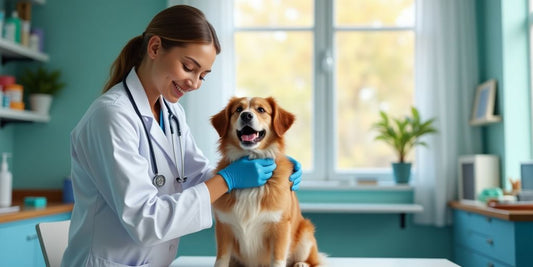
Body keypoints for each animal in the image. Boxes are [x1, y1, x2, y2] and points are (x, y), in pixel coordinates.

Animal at [210, 97, 326, 267]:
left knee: (314, 260)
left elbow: (277, 260)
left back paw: (301, 264)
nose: (246, 115)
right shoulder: (224, 227)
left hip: (305, 235)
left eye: (261, 109)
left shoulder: (280, 227)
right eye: (238, 109)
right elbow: (222, 259)